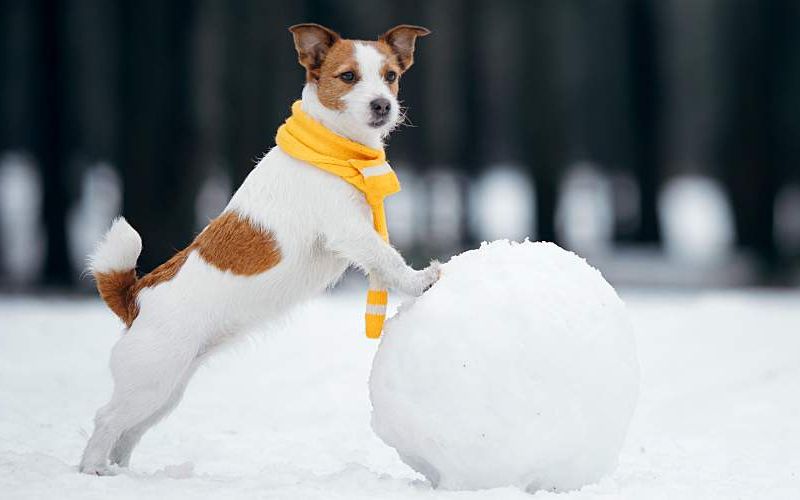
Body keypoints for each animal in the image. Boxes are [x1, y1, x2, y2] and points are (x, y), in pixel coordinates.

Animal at [79, 24, 438, 476]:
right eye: (348, 77)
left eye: (390, 76)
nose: (383, 105)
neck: (335, 149)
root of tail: (135, 297)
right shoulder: (349, 231)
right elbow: (388, 258)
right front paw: (421, 280)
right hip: (151, 377)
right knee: (106, 419)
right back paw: (93, 469)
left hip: (166, 389)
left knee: (128, 431)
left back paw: (122, 471)